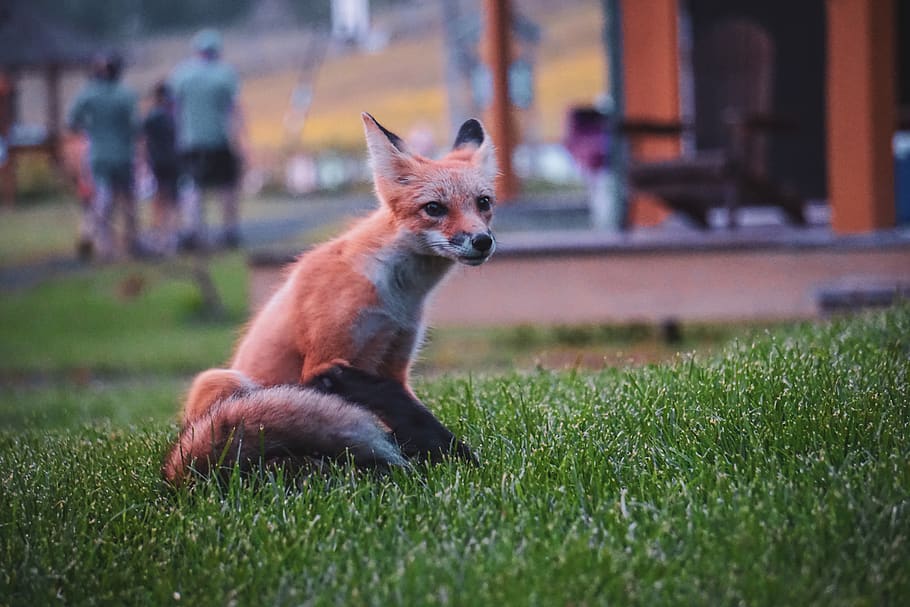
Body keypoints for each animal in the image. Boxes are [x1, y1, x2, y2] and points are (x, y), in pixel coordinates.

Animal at [168, 113, 496, 479]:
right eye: (434, 208)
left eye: (483, 203)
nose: (483, 241)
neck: (396, 298)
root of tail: (179, 472)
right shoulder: (325, 360)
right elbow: (390, 408)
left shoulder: (396, 363)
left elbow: (404, 409)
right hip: (222, 381)